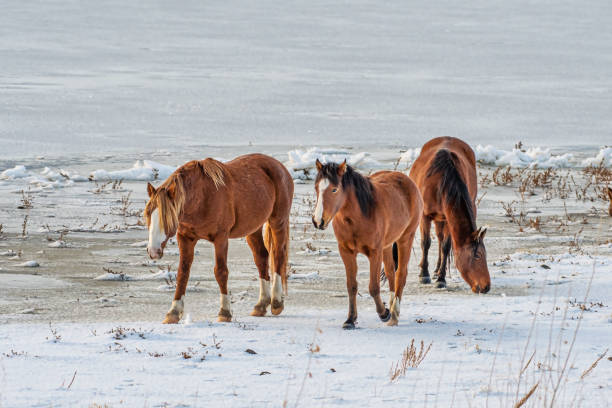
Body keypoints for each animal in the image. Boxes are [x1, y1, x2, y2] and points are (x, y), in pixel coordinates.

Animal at [146, 155, 294, 324]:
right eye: (148, 215)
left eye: (167, 219)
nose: (153, 251)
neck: (202, 197)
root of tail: (279, 166)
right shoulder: (185, 238)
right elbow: (183, 272)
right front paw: (173, 312)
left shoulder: (221, 238)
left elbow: (221, 272)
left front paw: (225, 312)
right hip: (253, 228)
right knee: (261, 258)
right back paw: (261, 304)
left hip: (278, 221)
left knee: (278, 256)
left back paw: (276, 303)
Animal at [314, 159, 424, 328]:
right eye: (316, 188)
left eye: (334, 189)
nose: (318, 221)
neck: (358, 217)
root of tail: (406, 180)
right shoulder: (346, 251)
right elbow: (351, 286)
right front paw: (350, 319)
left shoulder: (374, 252)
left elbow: (373, 287)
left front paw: (384, 313)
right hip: (387, 246)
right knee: (391, 272)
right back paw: (392, 306)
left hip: (405, 238)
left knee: (401, 274)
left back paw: (394, 313)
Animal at [408, 137, 490, 294]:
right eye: (477, 255)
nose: (486, 287)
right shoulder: (425, 216)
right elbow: (425, 243)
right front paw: (424, 275)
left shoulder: (447, 218)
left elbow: (446, 246)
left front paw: (441, 278)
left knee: (441, 240)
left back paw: (437, 270)